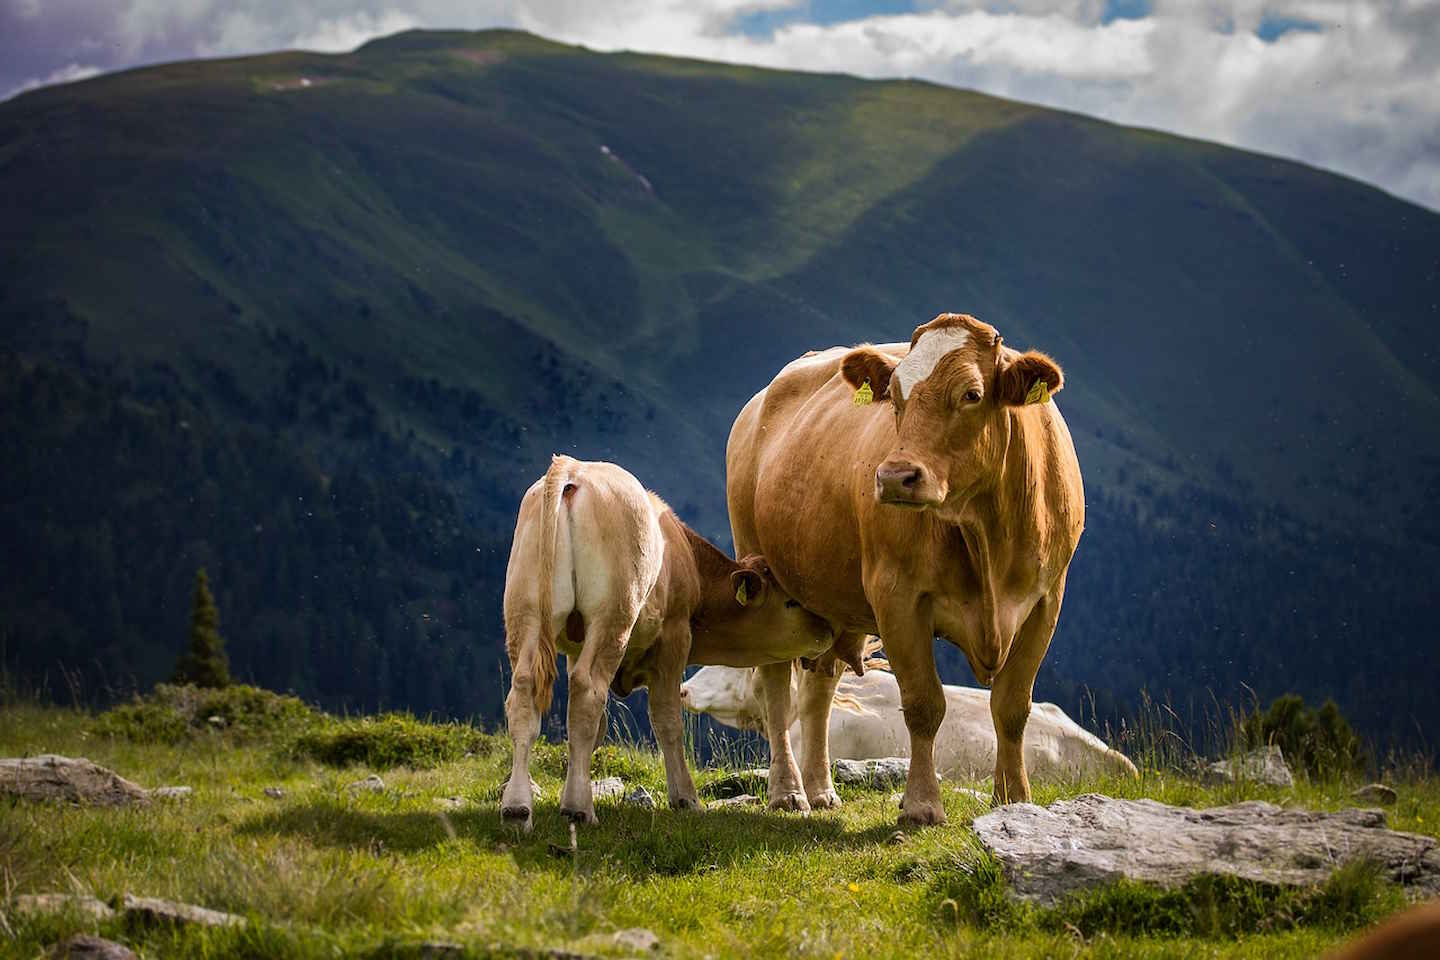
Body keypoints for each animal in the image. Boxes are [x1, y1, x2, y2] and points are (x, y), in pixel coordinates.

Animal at [501, 454, 835, 829]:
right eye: (791, 602)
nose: (828, 628)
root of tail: (574, 470)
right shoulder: (675, 638)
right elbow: (667, 719)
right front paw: (685, 797)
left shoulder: (575, 647)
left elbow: (593, 729)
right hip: (612, 615)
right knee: (588, 690)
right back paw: (578, 808)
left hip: (525, 611)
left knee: (525, 692)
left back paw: (517, 807)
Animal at [725, 313, 1082, 829]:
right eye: (894, 395)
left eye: (972, 393)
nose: (894, 476)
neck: (986, 533)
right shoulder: (897, 596)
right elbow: (923, 704)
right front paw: (921, 805)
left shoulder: (1046, 599)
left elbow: (1012, 705)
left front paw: (1014, 799)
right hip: (760, 567)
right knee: (776, 688)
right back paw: (788, 792)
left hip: (832, 603)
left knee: (819, 689)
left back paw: (820, 788)